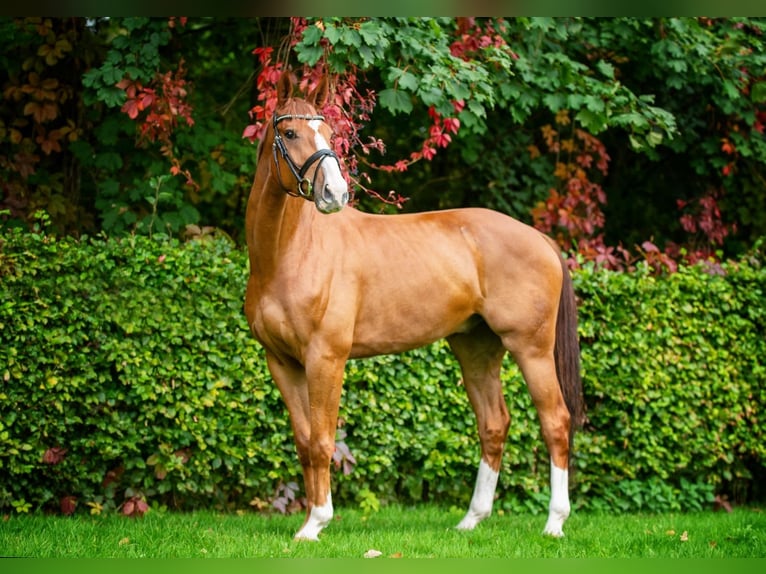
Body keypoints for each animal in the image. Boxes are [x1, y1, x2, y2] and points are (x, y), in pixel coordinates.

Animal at [244, 71, 584, 541]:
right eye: (291, 133)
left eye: (328, 132)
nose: (335, 193)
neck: (288, 254)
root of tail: (541, 240)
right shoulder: (281, 362)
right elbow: (304, 440)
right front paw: (309, 521)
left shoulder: (325, 359)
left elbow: (323, 440)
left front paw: (317, 522)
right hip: (477, 349)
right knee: (494, 424)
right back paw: (471, 520)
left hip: (530, 348)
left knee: (555, 422)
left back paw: (554, 523)